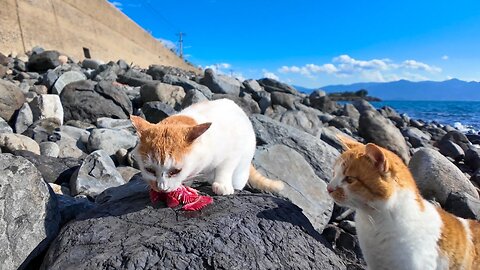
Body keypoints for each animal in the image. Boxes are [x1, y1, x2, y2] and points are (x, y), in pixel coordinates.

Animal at [129, 98, 284, 195]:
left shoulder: (233, 152)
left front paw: (222, 184)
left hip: (241, 171)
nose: (161, 188)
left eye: (175, 171)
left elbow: (225, 168)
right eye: (149, 170)